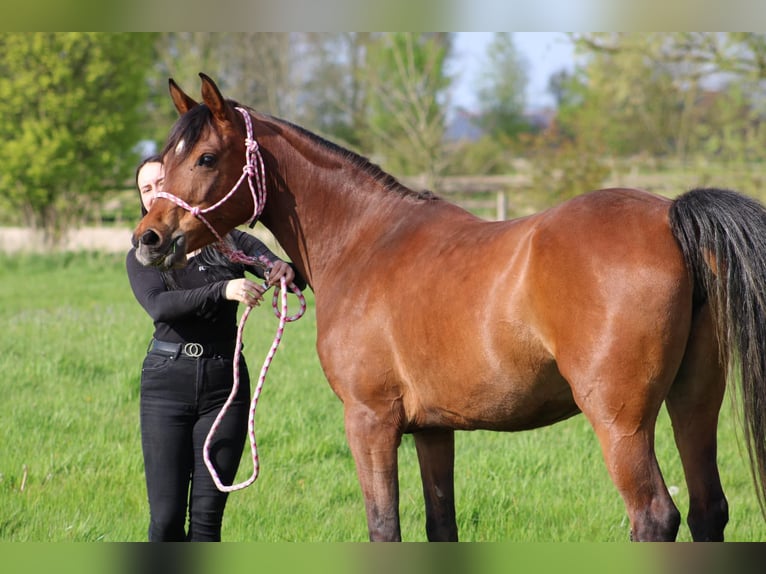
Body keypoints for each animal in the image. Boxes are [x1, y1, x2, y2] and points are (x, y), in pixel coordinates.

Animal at [132, 74, 766, 544]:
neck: (365, 241)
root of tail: (670, 217)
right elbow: (442, 526)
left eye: (206, 158)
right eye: (166, 159)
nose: (149, 239)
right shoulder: (434, 430)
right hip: (693, 403)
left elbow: (384, 527)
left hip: (621, 423)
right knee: (708, 509)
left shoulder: (370, 421)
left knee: (655, 517)